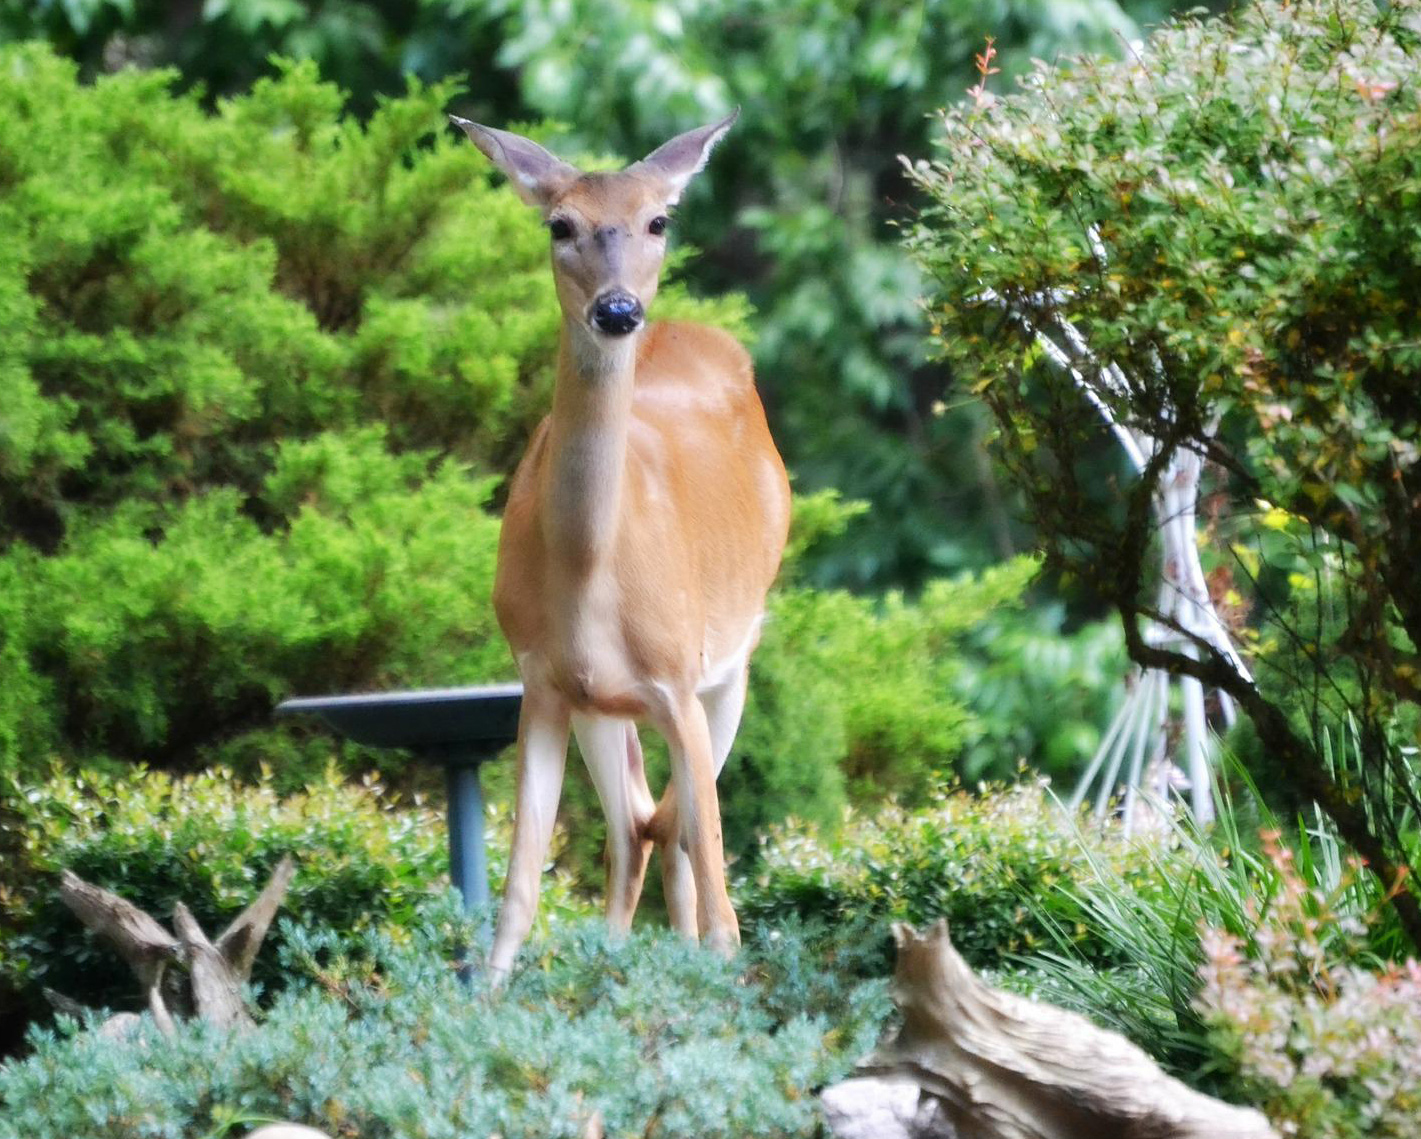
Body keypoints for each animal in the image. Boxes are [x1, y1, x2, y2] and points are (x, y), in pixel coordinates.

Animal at [451, 110, 795, 971]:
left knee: (676, 835)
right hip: (603, 705)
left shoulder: (677, 677)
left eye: (658, 220)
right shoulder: (542, 683)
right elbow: (517, 896)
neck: (585, 566)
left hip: (730, 660)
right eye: (559, 224)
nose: (616, 311)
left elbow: (722, 902)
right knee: (639, 825)